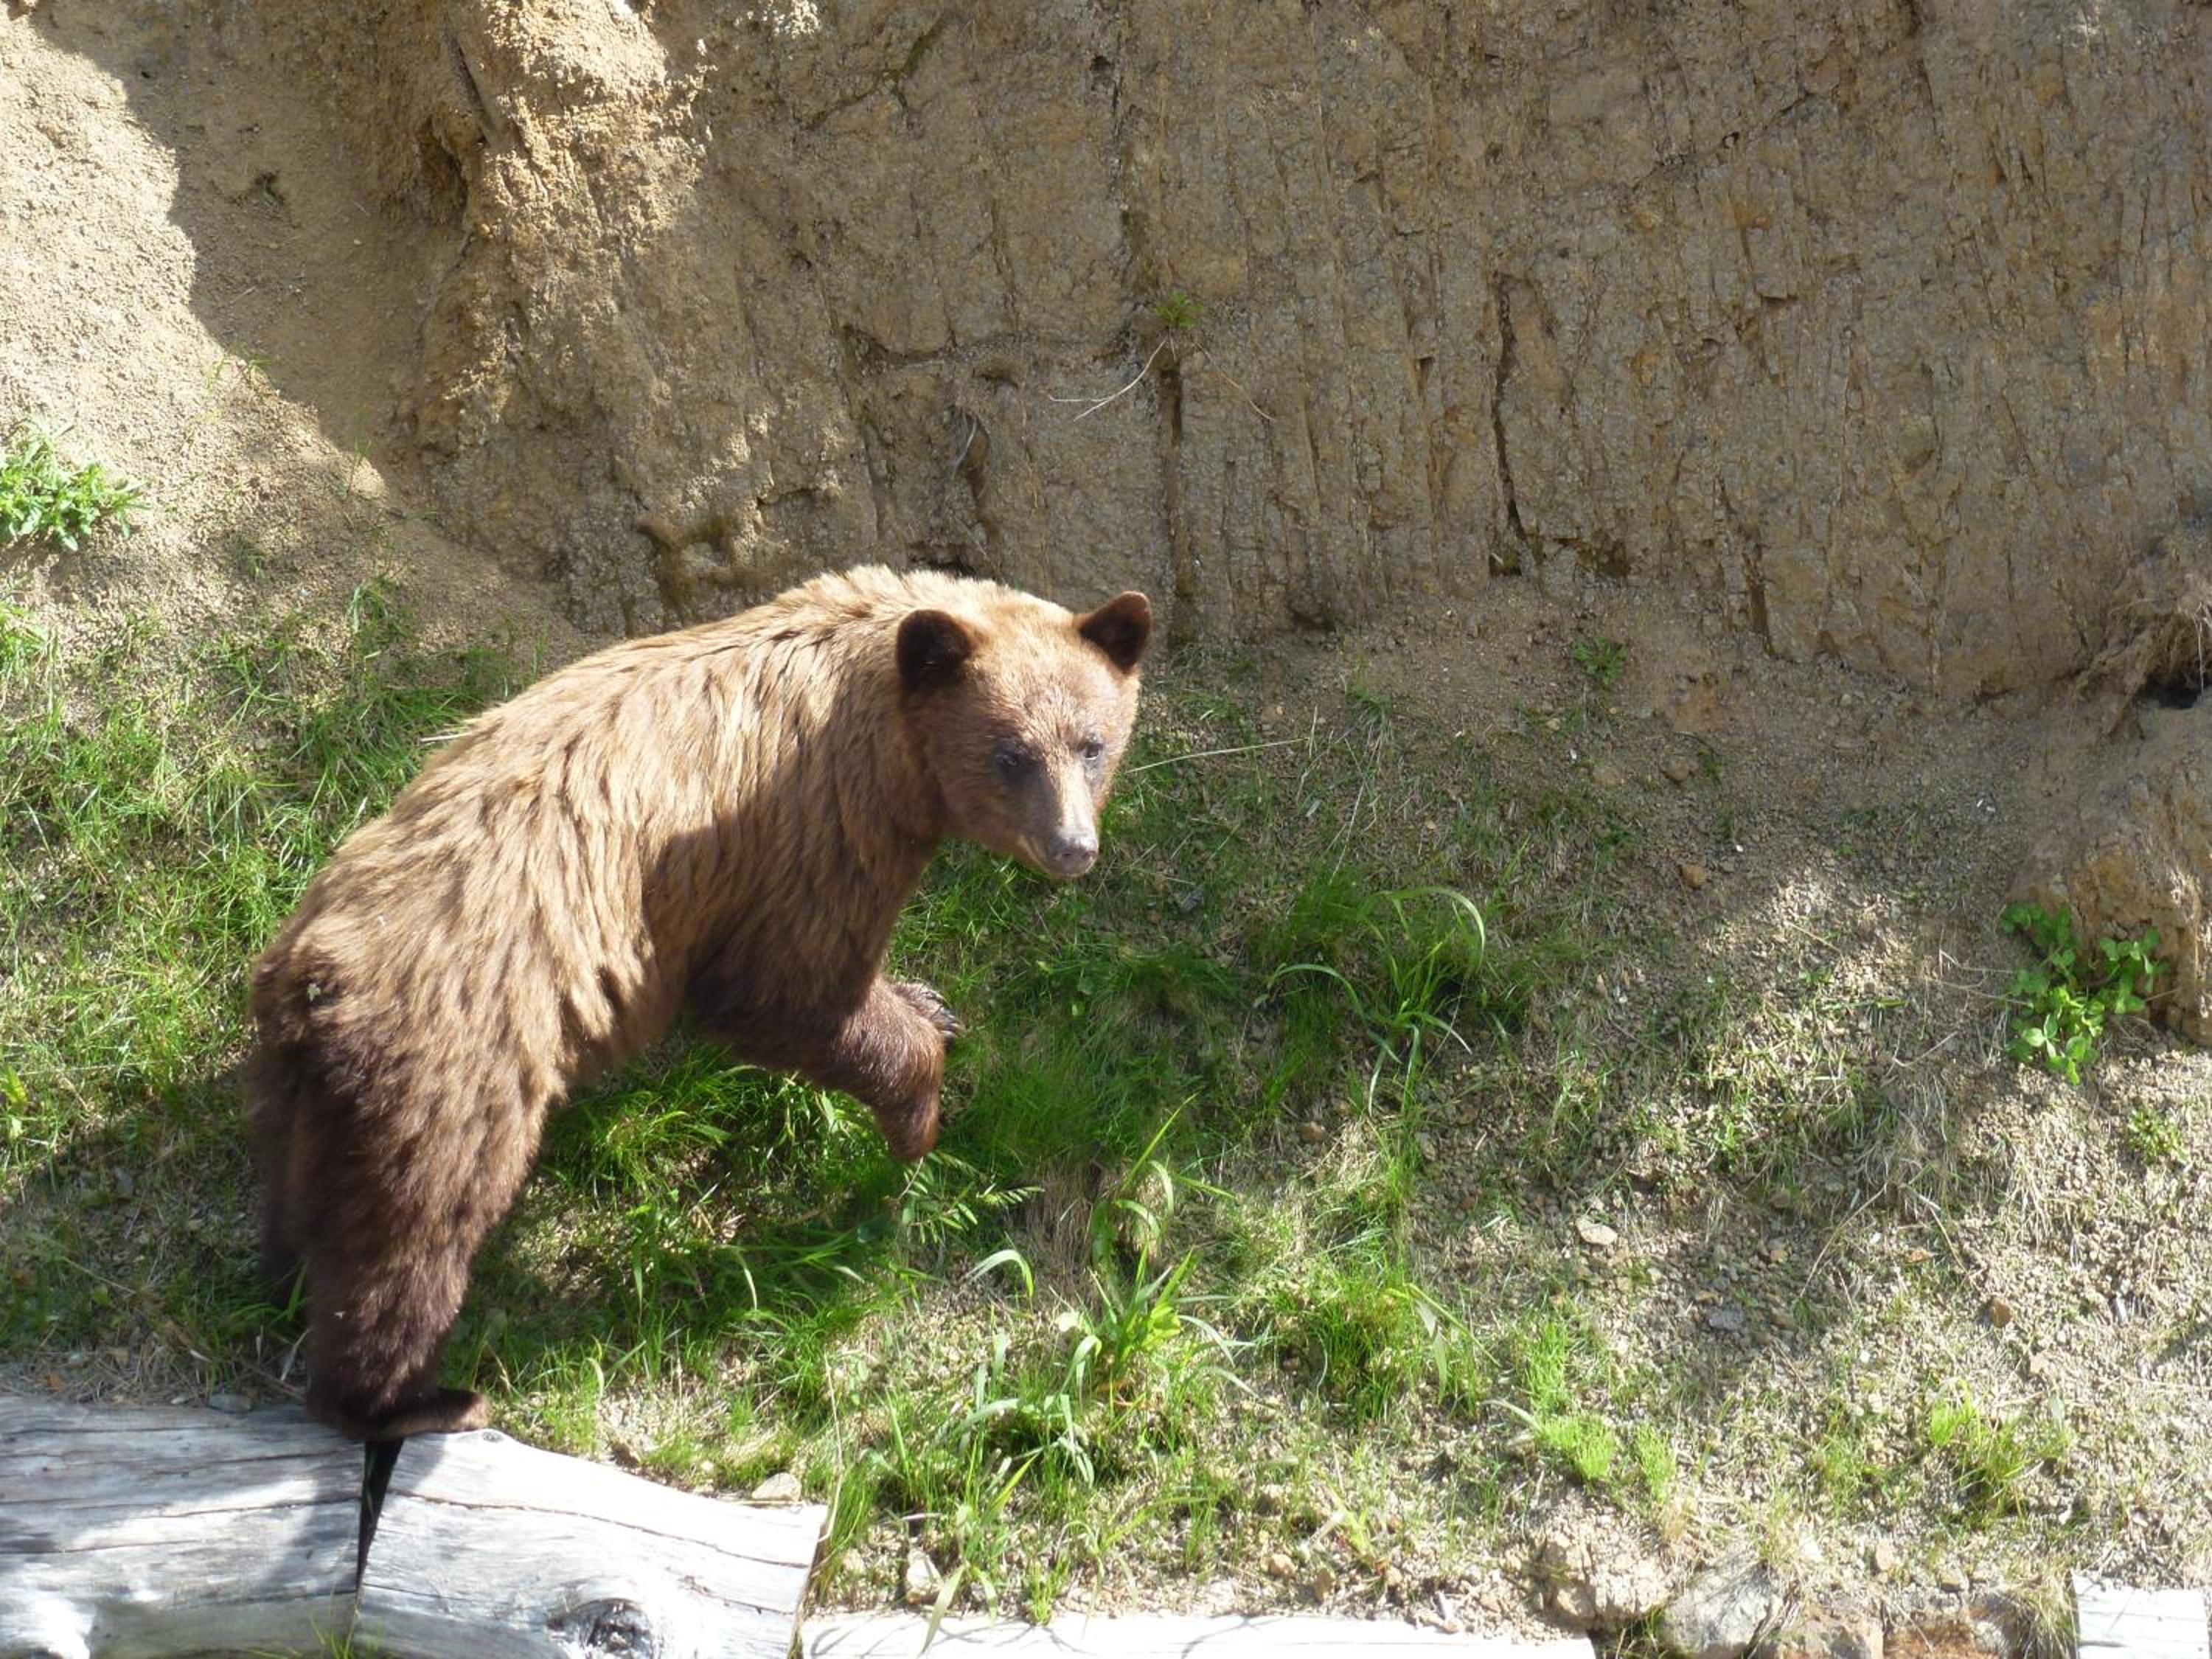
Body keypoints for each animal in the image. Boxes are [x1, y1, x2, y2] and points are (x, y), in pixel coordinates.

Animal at [245, 566, 1152, 1441]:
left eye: (1093, 744)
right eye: (1010, 755)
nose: (1073, 847)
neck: (883, 736)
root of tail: (316, 979)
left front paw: (929, 1003)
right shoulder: (811, 829)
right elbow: (784, 988)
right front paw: (918, 1122)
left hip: (312, 1088)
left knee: (310, 1196)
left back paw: (288, 1284)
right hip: (459, 1062)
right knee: (416, 1230)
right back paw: (417, 1398)